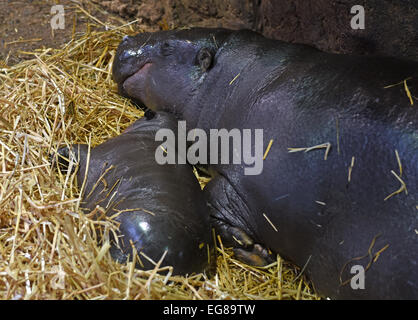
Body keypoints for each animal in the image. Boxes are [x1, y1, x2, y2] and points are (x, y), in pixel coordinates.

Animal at [112, 28, 416, 300]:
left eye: (166, 47)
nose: (126, 39)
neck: (235, 83)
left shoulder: (247, 184)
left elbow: (209, 199)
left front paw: (251, 248)